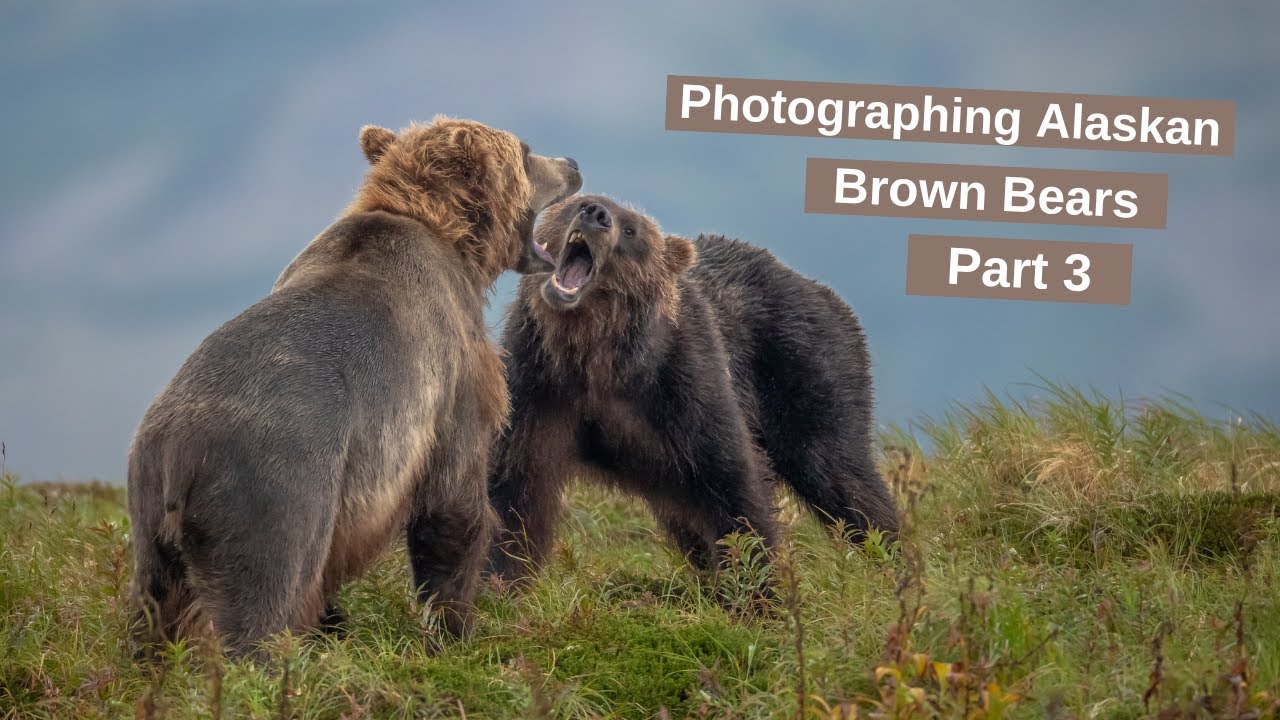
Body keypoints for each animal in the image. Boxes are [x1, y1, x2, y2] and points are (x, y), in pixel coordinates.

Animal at [127, 117, 581, 656]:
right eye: (527, 153)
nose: (571, 164)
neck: (452, 239)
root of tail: (181, 458)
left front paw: (339, 623)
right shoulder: (454, 370)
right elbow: (454, 500)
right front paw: (455, 628)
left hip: (148, 512)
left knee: (155, 605)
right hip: (274, 493)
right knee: (263, 602)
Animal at [487, 195, 898, 583]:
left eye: (632, 229)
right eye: (579, 203)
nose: (595, 214)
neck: (595, 356)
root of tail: (816, 287)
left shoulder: (685, 382)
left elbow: (734, 482)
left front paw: (758, 588)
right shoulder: (536, 387)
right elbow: (515, 489)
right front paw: (499, 580)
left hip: (803, 362)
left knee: (834, 468)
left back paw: (887, 554)